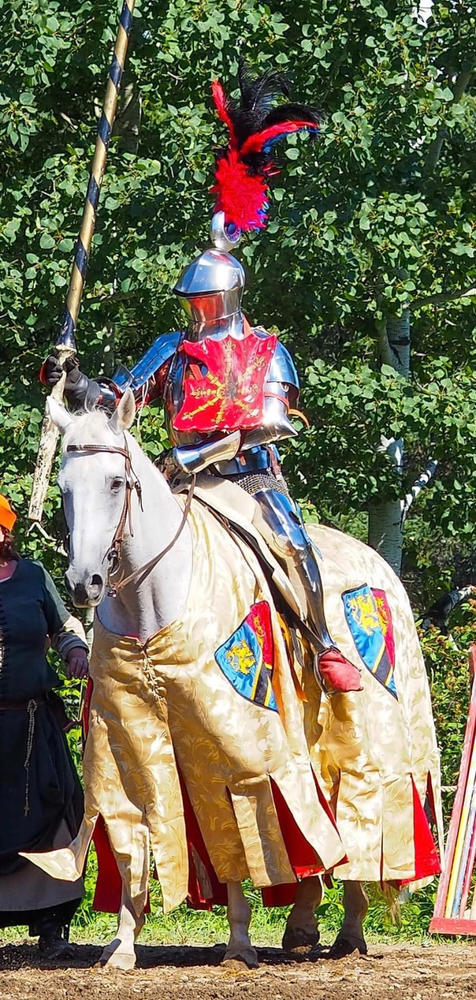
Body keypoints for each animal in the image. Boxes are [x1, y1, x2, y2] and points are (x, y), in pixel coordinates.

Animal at [33, 392, 440, 968]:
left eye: (116, 482)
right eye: (65, 487)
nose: (82, 582)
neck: (154, 601)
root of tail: (379, 566)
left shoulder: (234, 752)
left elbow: (239, 829)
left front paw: (240, 943)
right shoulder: (125, 745)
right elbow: (131, 830)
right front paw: (124, 944)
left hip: (372, 739)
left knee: (363, 811)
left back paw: (350, 931)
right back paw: (302, 924)